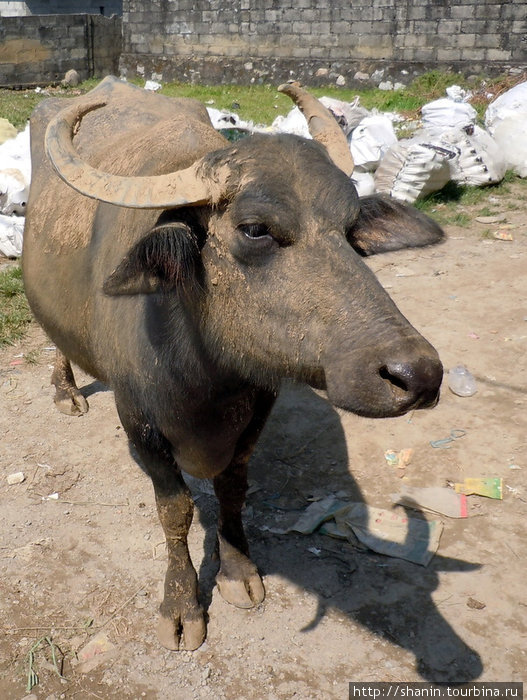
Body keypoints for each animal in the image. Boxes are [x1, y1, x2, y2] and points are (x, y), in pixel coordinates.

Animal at [22, 79, 446, 652]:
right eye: (255, 229)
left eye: (351, 226)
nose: (417, 374)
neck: (205, 372)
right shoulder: (140, 424)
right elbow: (175, 511)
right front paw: (181, 605)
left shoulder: (256, 412)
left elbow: (232, 491)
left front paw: (239, 571)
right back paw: (65, 389)